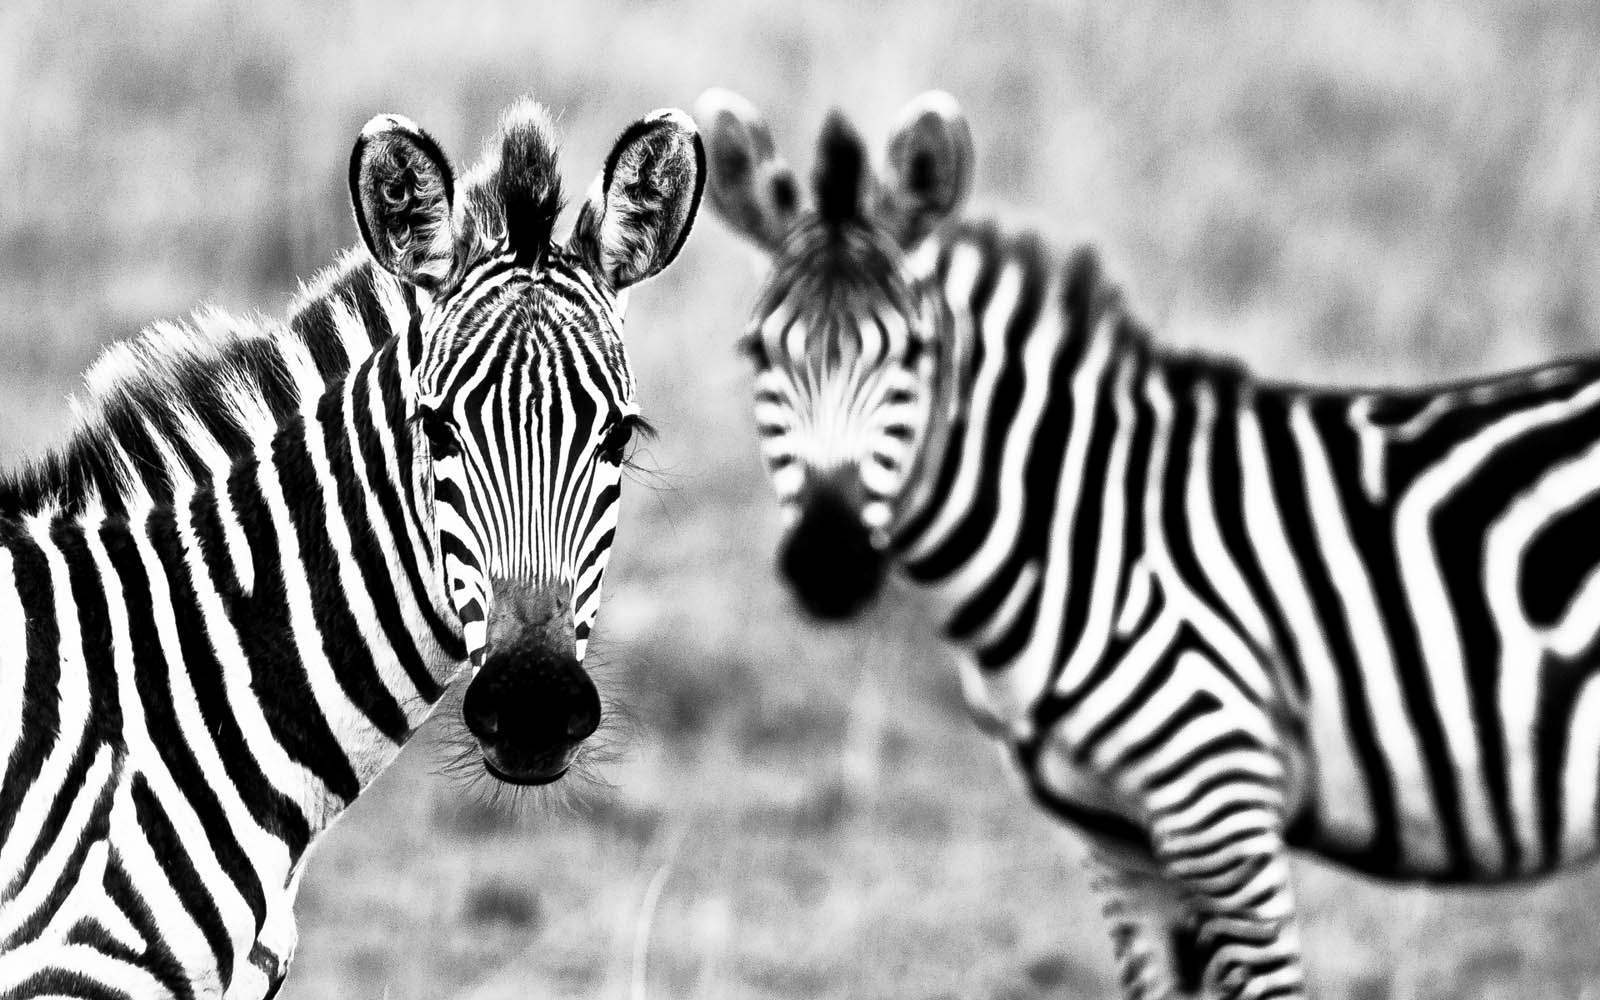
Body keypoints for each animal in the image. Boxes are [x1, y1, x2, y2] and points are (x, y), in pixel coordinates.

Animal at [695, 86, 1600, 999]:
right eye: (756, 351)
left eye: (916, 353)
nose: (828, 564)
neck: (1076, 530)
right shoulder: (1118, 843)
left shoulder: (1220, 807)